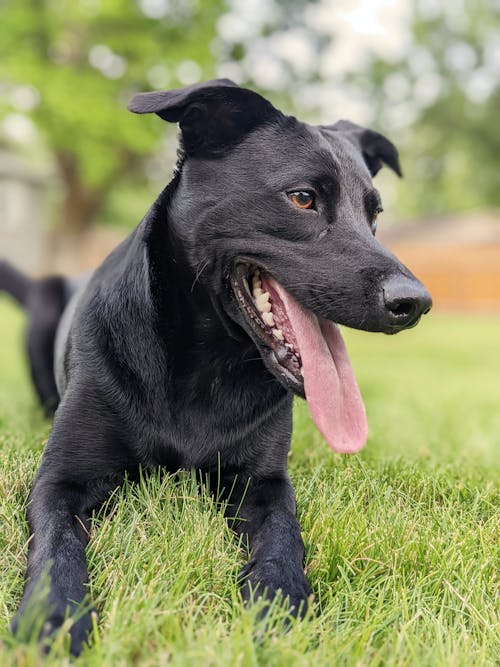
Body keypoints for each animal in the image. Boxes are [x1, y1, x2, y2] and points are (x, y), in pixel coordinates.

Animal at [0, 81, 430, 656]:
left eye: (375, 215)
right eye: (302, 198)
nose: (416, 303)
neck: (203, 365)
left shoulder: (263, 483)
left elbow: (283, 540)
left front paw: (282, 610)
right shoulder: (59, 481)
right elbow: (56, 548)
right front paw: (54, 618)